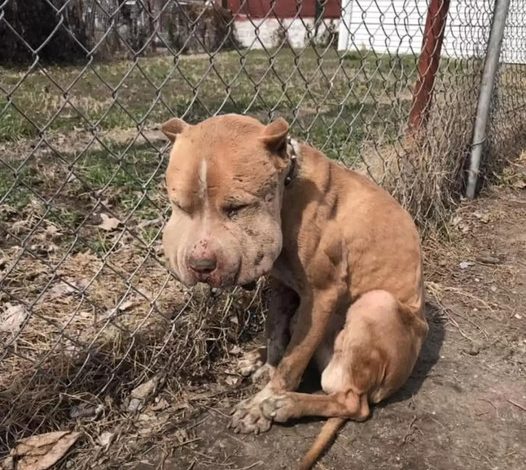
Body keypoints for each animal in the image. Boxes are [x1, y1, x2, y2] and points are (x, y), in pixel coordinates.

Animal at [163, 114, 432, 470]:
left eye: (237, 207)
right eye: (180, 207)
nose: (200, 265)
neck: (288, 188)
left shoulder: (321, 295)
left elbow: (292, 362)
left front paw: (260, 404)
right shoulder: (281, 285)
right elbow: (276, 333)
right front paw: (267, 365)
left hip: (377, 305)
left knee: (353, 403)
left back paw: (287, 404)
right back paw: (256, 359)